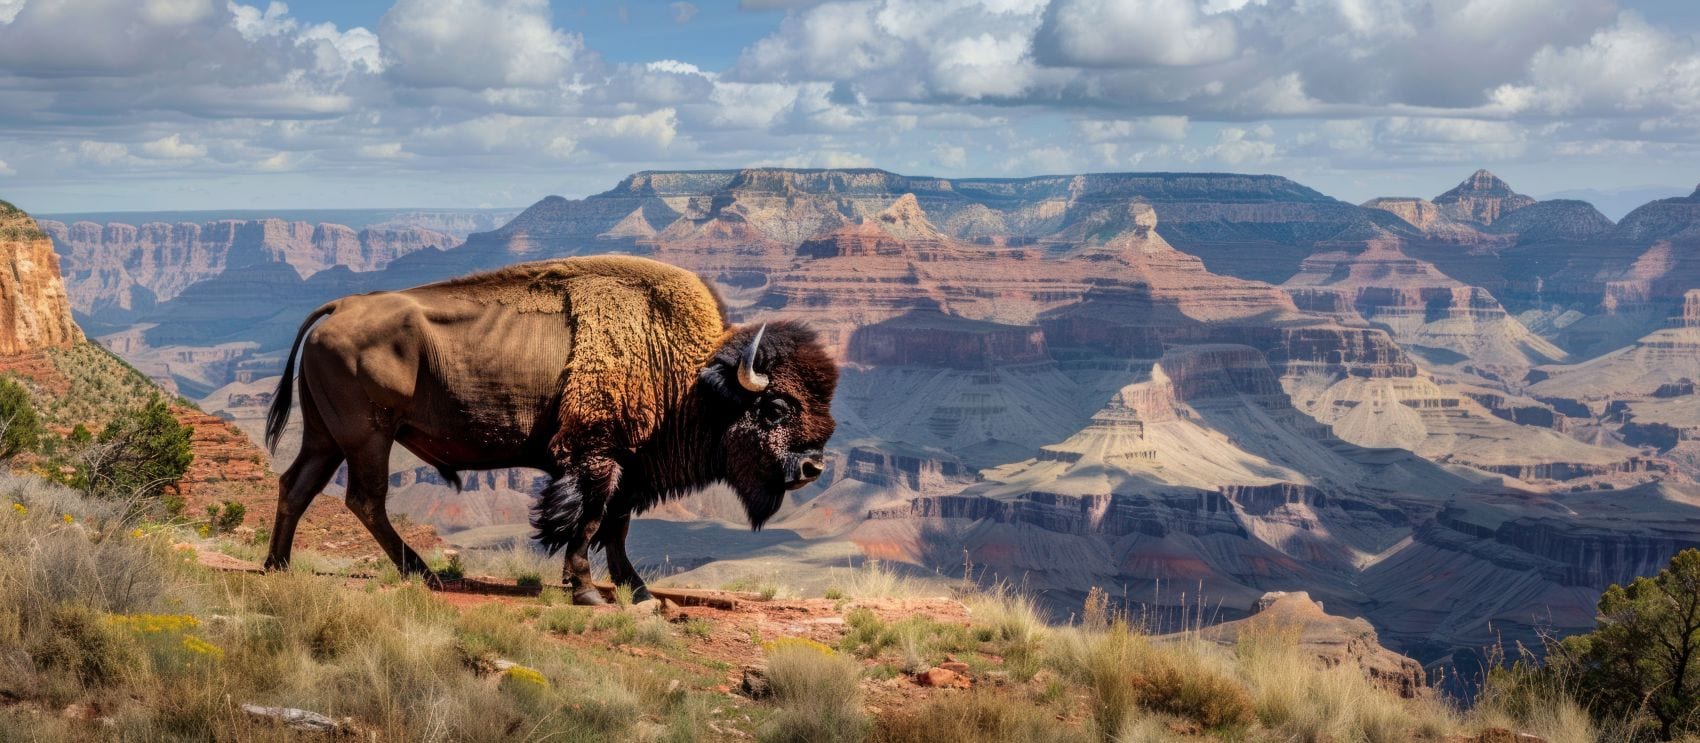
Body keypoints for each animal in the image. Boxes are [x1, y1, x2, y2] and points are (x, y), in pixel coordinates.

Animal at [262, 255, 838, 604]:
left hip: (326, 436)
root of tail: (340, 308)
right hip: (368, 437)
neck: (686, 374)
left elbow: (616, 528)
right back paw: (422, 573)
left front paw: (638, 593)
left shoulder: (628, 467)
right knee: (365, 499)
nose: (813, 467)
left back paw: (277, 566)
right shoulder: (596, 458)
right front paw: (586, 590)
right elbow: (587, 521)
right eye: (775, 408)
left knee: (297, 485)